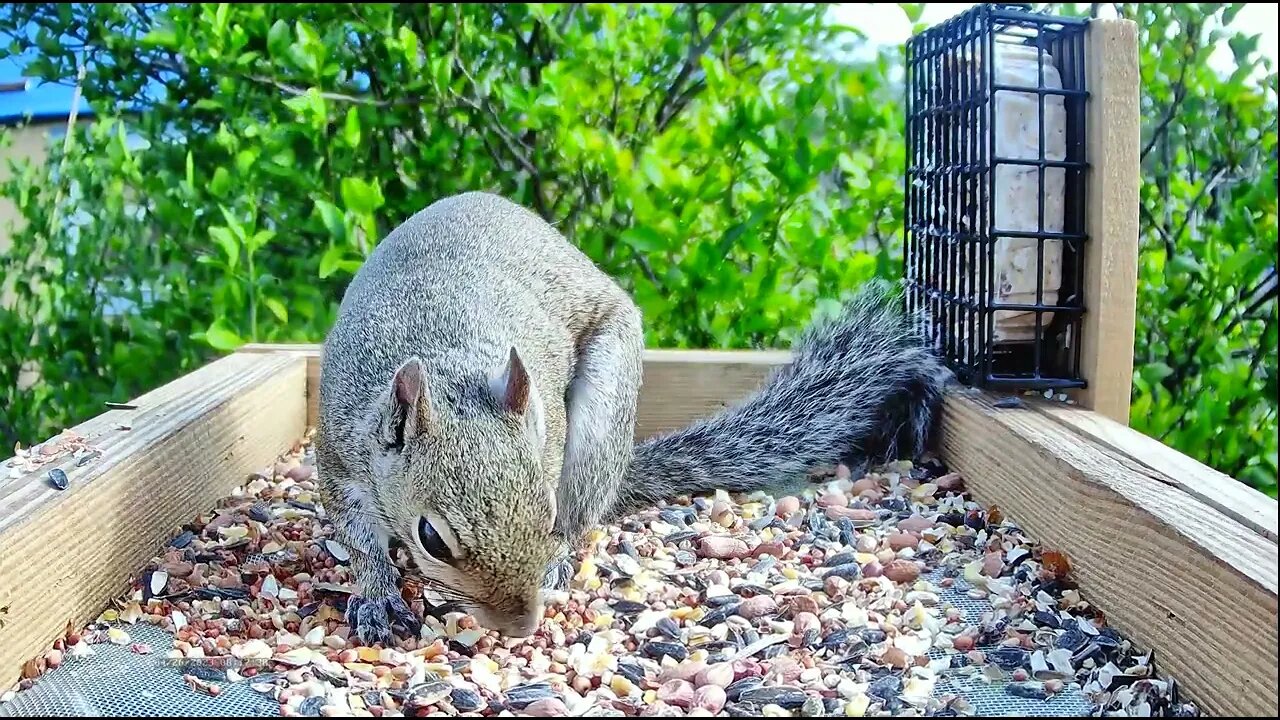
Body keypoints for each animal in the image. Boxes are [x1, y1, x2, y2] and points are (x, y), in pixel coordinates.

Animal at [313, 190, 947, 645]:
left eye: (546, 512)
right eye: (432, 540)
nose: (520, 627)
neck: (443, 357)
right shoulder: (339, 457)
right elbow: (359, 538)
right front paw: (378, 596)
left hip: (597, 434)